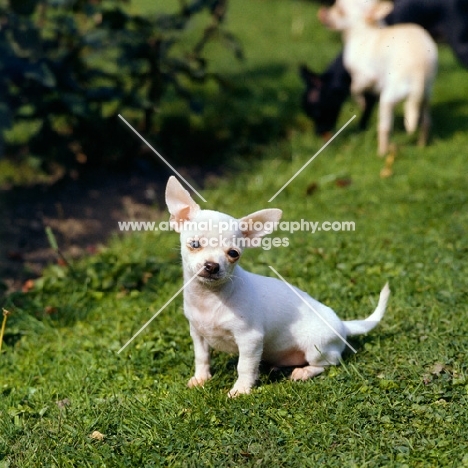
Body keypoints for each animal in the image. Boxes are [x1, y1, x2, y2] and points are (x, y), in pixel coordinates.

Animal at [166, 177, 390, 396]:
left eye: (233, 253)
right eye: (195, 244)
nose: (212, 266)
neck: (210, 297)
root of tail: (343, 325)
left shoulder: (250, 340)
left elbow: (244, 366)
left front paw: (241, 390)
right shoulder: (198, 334)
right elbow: (201, 357)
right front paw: (201, 379)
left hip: (316, 347)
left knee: (329, 362)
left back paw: (304, 372)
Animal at [302, 0, 468, 137]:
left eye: (317, 111)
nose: (319, 134)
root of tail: (418, 73)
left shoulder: (368, 78)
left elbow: (360, 96)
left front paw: (360, 128)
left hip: (459, 46)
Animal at [320, 0, 436, 157]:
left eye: (339, 10)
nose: (323, 12)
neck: (366, 30)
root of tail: (420, 69)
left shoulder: (366, 76)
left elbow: (355, 88)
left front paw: (361, 103)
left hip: (388, 98)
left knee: (385, 128)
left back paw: (381, 153)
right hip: (426, 96)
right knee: (426, 123)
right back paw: (421, 146)